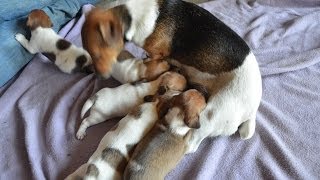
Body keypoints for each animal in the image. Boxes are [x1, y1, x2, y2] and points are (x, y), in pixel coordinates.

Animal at [82, 0, 262, 153]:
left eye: (97, 54)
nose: (96, 74)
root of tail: (252, 111)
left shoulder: (157, 53)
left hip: (211, 113)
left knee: (190, 143)